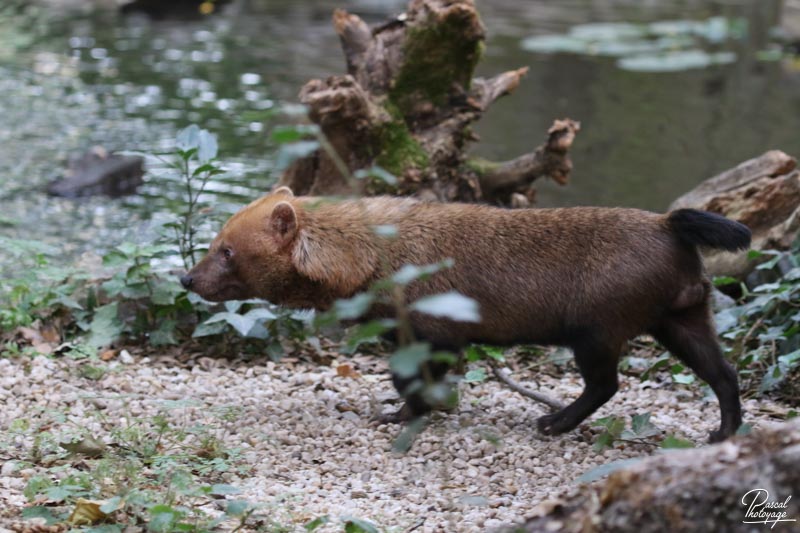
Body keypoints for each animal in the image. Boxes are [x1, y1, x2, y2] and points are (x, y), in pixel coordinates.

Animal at [181, 186, 752, 440]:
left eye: (227, 250)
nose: (187, 278)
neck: (372, 252)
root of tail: (668, 223)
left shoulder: (435, 332)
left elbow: (415, 379)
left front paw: (402, 414)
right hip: (682, 318)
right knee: (724, 374)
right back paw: (722, 433)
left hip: (597, 329)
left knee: (605, 384)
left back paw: (553, 421)